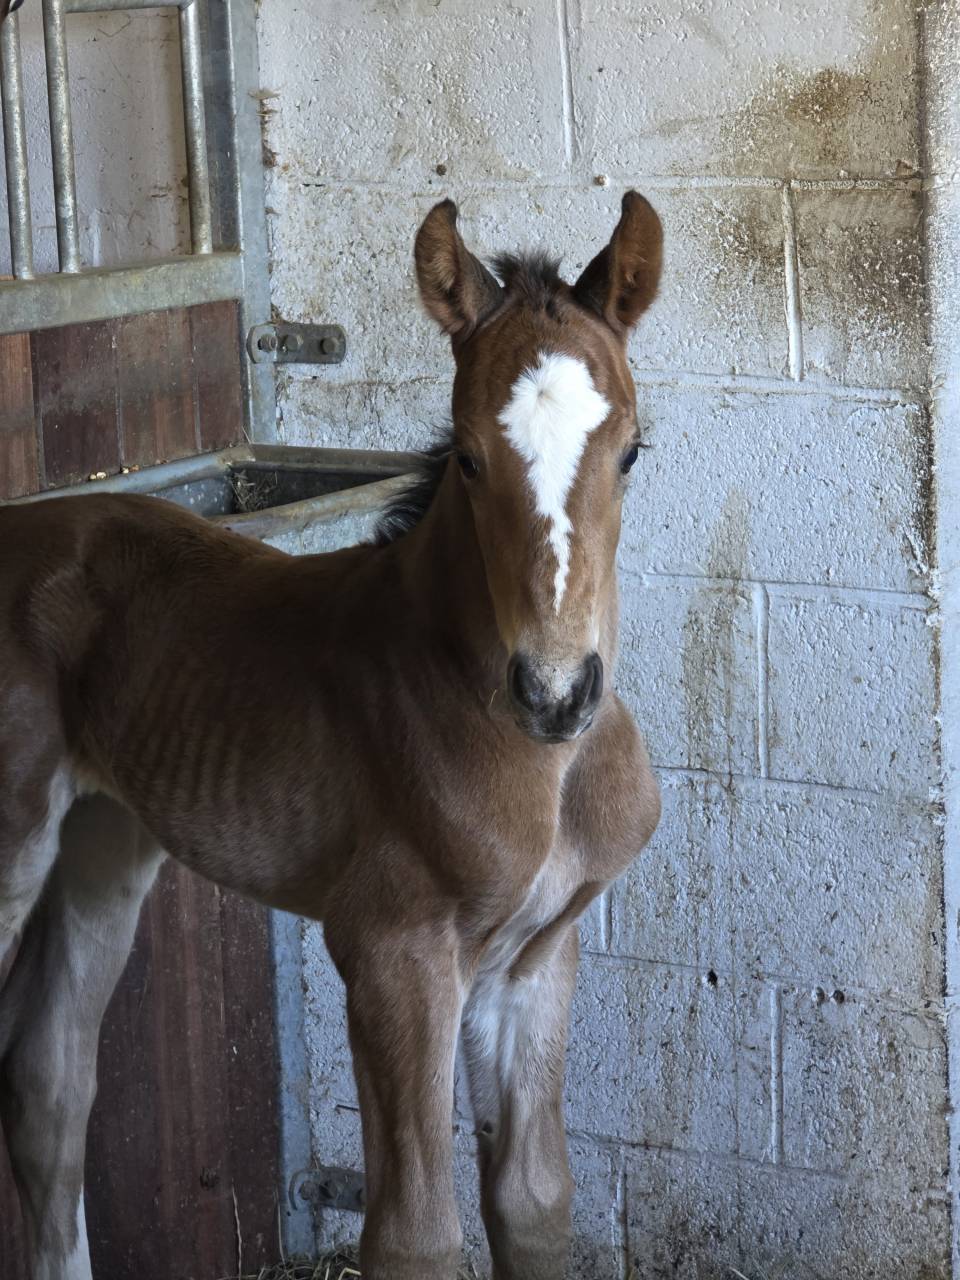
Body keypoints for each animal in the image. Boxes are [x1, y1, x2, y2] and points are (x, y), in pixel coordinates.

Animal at [0, 191, 663, 1280]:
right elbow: (416, 1233)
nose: (556, 691)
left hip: (104, 839)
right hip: (14, 842)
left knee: (50, 1077)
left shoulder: (536, 958)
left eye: (631, 451)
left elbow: (533, 1200)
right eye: (469, 456)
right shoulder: (391, 950)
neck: (549, 770)